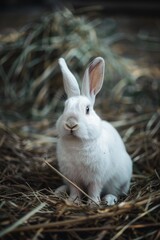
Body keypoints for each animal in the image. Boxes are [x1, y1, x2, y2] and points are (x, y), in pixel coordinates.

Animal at [55, 57, 133, 205]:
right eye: (65, 107)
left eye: (87, 109)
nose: (71, 124)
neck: (77, 143)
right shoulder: (72, 177)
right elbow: (75, 190)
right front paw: (72, 202)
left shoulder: (96, 178)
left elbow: (93, 190)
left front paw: (92, 205)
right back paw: (59, 191)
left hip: (120, 180)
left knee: (117, 192)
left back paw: (108, 199)